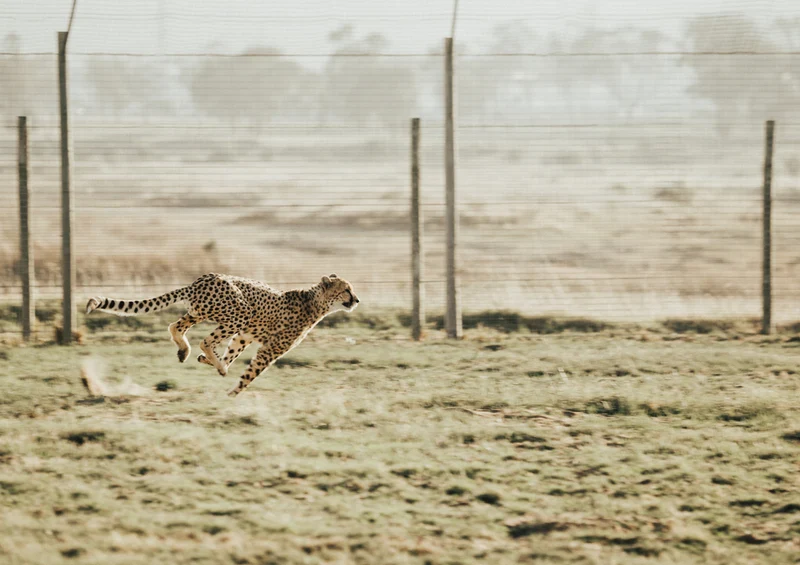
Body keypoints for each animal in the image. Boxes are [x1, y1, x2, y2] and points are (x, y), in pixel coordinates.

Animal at [85, 273, 359, 397]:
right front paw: (232, 393)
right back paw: (213, 362)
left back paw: (187, 352)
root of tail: (202, 279)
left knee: (176, 326)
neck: (315, 302)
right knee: (205, 340)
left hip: (201, 312)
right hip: (239, 312)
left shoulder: (245, 335)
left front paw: (213, 363)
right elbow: (250, 374)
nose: (356, 299)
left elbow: (233, 352)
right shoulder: (269, 349)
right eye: (346, 290)